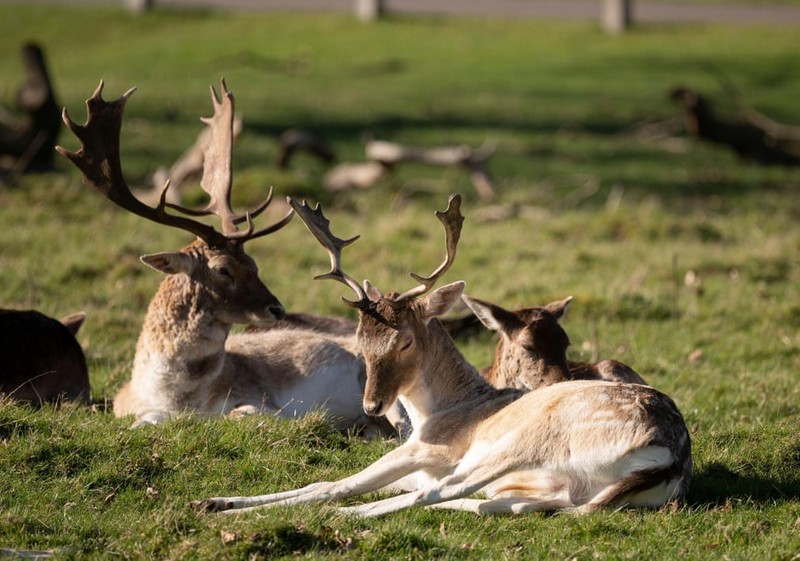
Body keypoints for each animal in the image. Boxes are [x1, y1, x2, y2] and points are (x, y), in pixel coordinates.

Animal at [56, 81, 396, 436]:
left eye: (254, 265)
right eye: (223, 269)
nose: (276, 309)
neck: (176, 397)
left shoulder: (253, 395)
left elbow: (241, 412)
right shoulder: (126, 407)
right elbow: (141, 421)